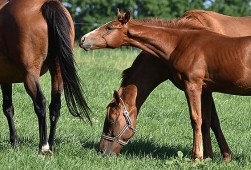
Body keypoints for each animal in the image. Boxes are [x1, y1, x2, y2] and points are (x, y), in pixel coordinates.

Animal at [0, 0, 91, 154]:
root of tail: (46, 4)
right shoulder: (6, 79)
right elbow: (8, 108)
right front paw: (15, 142)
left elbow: (7, 108)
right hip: (58, 72)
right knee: (55, 106)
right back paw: (51, 145)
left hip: (30, 74)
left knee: (40, 102)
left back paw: (43, 146)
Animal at [79, 10, 251, 159]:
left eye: (111, 120)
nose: (83, 39)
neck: (180, 43)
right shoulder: (205, 89)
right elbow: (208, 121)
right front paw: (213, 156)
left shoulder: (193, 86)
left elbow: (197, 120)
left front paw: (197, 158)